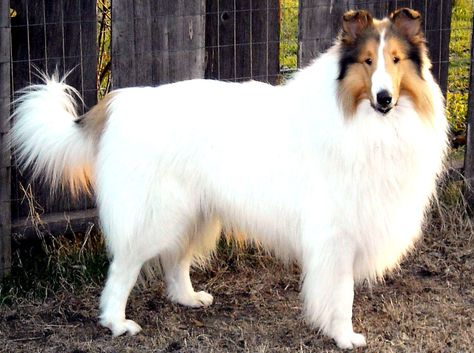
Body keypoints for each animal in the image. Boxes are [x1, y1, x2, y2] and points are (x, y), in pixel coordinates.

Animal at [11, 7, 448, 346]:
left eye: (396, 60)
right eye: (368, 61)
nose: (384, 98)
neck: (361, 119)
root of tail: (119, 103)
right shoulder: (335, 234)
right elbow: (342, 295)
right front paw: (344, 336)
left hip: (192, 211)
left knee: (175, 262)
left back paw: (188, 299)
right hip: (156, 215)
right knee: (123, 269)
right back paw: (117, 323)